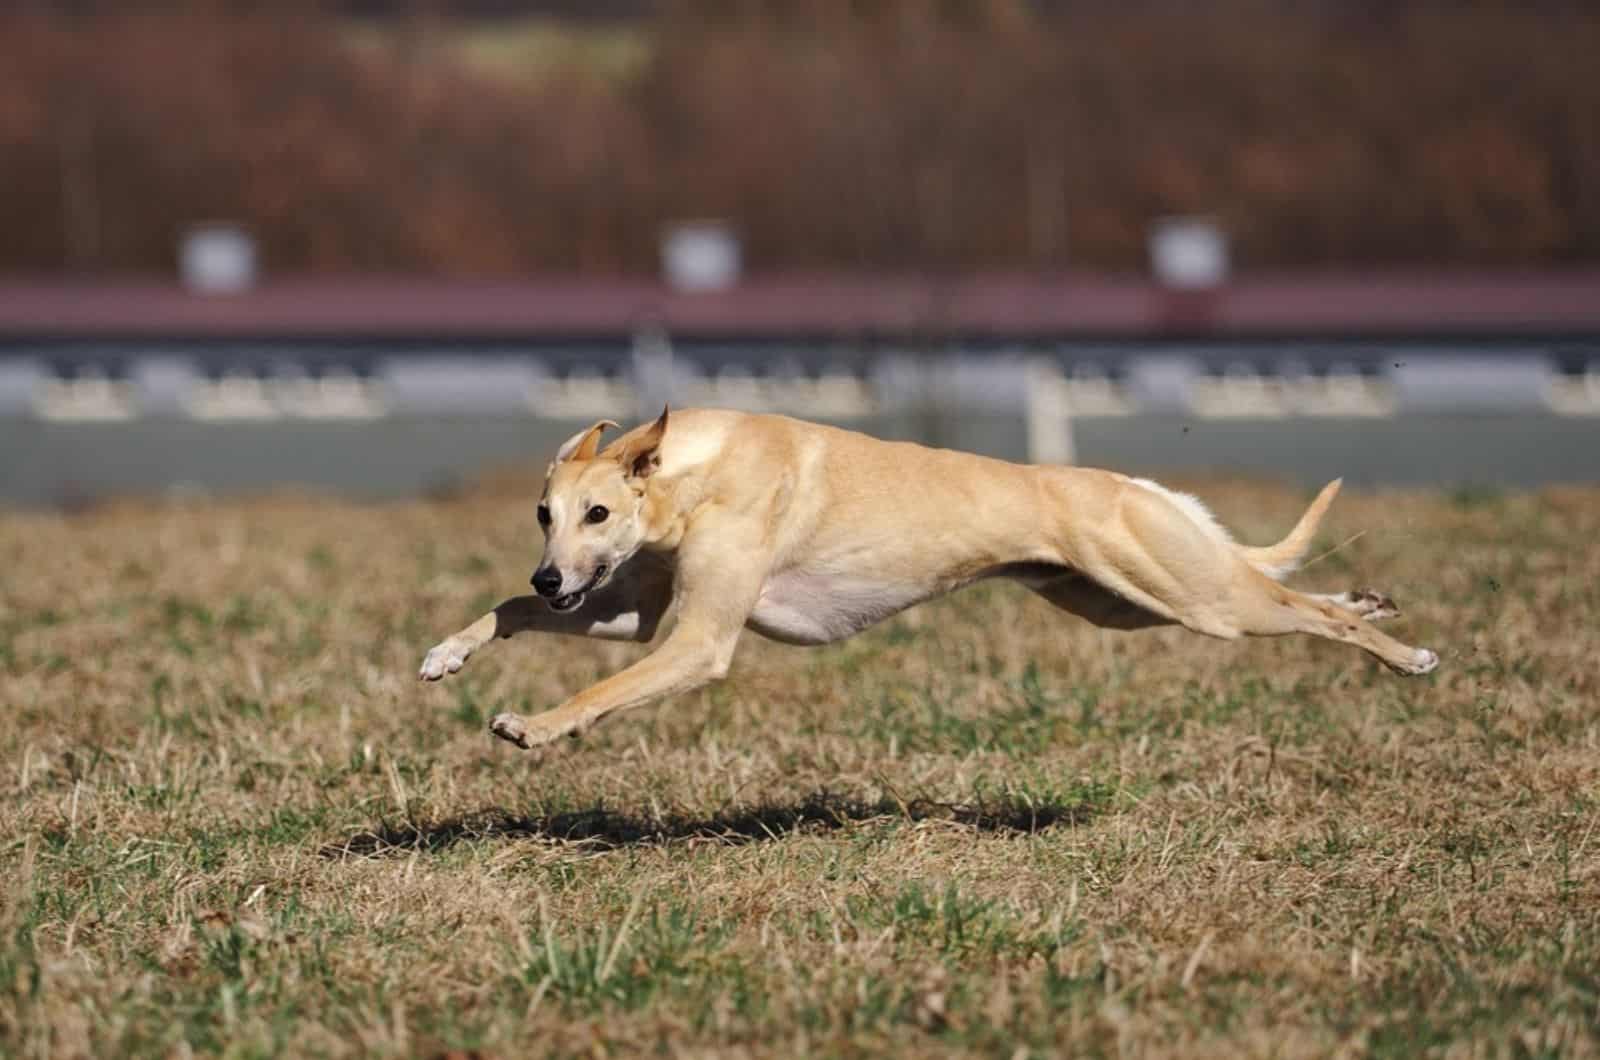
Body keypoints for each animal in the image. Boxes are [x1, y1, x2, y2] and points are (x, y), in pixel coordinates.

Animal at [416, 409, 1440, 752]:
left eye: (597, 513)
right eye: (543, 514)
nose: (554, 573)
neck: (690, 468)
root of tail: (1131, 486)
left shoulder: (698, 642)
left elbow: (604, 690)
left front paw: (534, 726)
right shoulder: (632, 611)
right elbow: (514, 613)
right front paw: (445, 655)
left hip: (1200, 603)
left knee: (1305, 615)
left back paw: (1405, 655)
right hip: (1121, 604)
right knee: (1298, 597)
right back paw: (1369, 601)